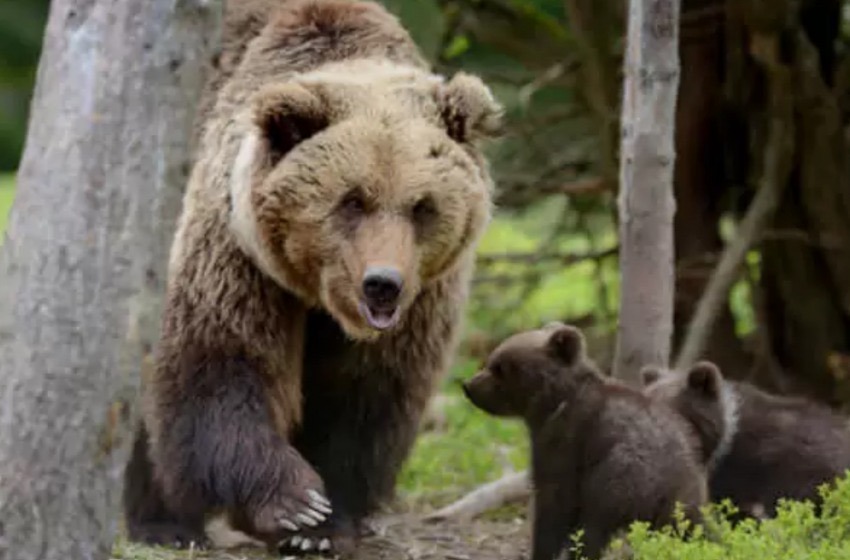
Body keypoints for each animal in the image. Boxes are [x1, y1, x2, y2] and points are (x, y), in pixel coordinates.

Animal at [121, 0, 503, 555]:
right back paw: (163, 524)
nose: (382, 284)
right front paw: (295, 504)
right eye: (352, 200)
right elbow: (219, 364)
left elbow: (360, 398)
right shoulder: (238, 256)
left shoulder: (422, 300)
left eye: (422, 206)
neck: (318, 295)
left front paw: (324, 525)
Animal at [462, 323, 707, 560]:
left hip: (618, 478)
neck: (554, 401)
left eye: (500, 367)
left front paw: (542, 550)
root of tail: (663, 488)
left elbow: (554, 502)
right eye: (493, 359)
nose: (468, 385)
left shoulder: (565, 442)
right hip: (685, 499)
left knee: (594, 528)